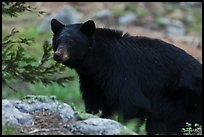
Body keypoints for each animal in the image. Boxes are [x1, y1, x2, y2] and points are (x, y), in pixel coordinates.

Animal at [50, 18, 201, 134]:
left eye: (71, 41)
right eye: (57, 40)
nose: (57, 55)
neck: (97, 61)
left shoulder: (120, 71)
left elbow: (134, 103)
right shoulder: (92, 81)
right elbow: (96, 104)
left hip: (178, 100)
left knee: (163, 123)